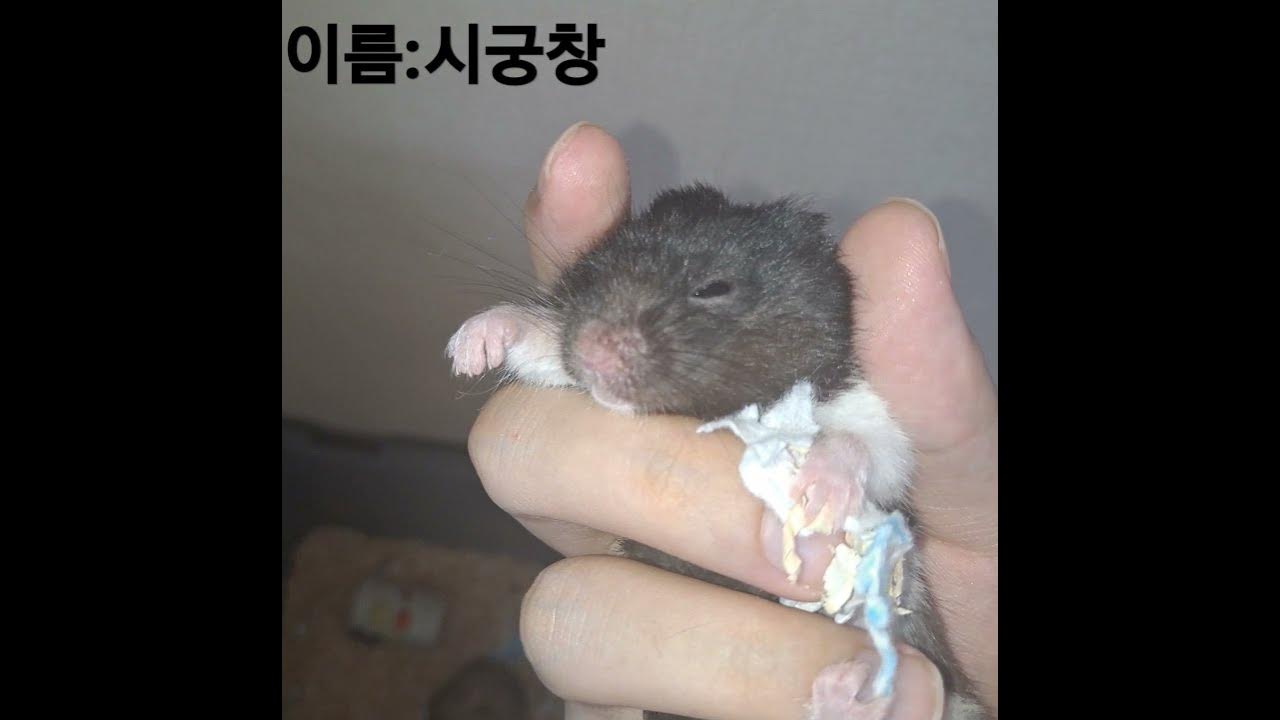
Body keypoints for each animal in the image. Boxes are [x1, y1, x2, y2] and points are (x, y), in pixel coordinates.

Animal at [447, 184, 988, 720]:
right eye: (596, 268)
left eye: (712, 289)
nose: (590, 352)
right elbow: (540, 345)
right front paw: (475, 345)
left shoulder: (867, 412)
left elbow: (869, 446)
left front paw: (814, 498)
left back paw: (852, 691)